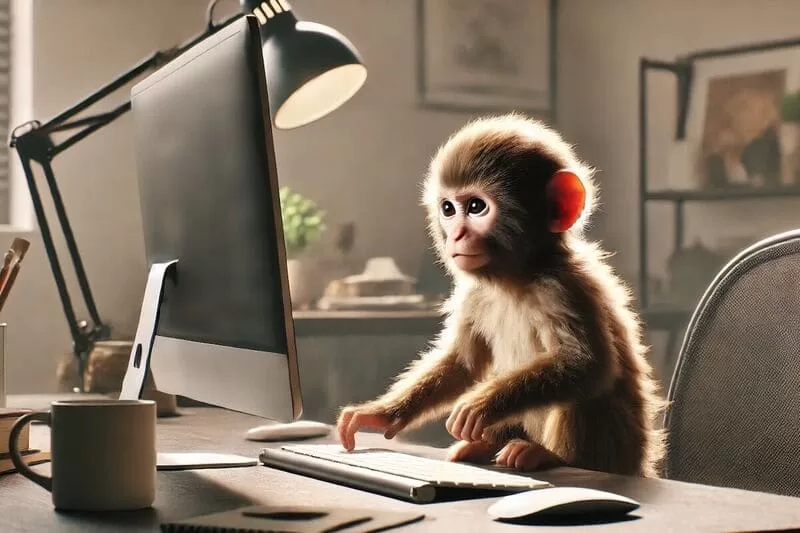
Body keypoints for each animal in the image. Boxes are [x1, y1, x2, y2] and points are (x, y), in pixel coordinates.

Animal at [336, 113, 667, 478]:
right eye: (448, 209)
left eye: (476, 207)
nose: (456, 235)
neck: (514, 280)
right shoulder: (473, 294)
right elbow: (462, 364)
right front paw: (380, 413)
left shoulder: (564, 288)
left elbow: (587, 364)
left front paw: (481, 405)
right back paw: (486, 445)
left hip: (614, 453)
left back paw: (546, 456)